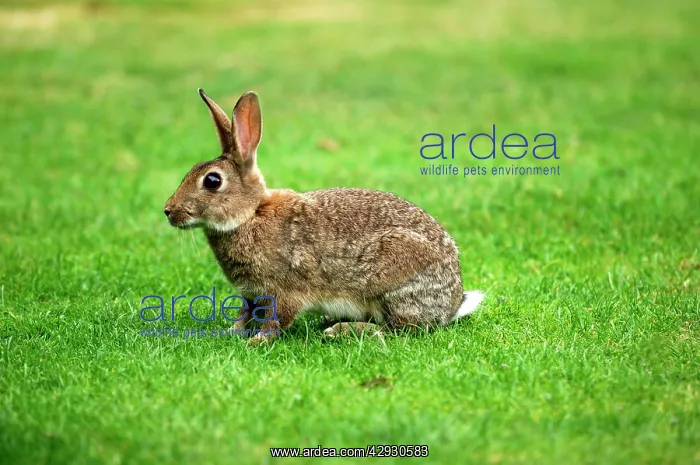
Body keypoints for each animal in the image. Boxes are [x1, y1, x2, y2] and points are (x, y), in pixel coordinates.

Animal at [164, 89, 485, 342]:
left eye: (212, 181)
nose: (168, 211)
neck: (250, 215)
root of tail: (451, 304)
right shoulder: (251, 293)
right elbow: (246, 313)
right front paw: (230, 332)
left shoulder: (283, 290)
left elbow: (275, 320)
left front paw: (256, 342)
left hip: (392, 281)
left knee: (397, 330)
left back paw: (340, 330)